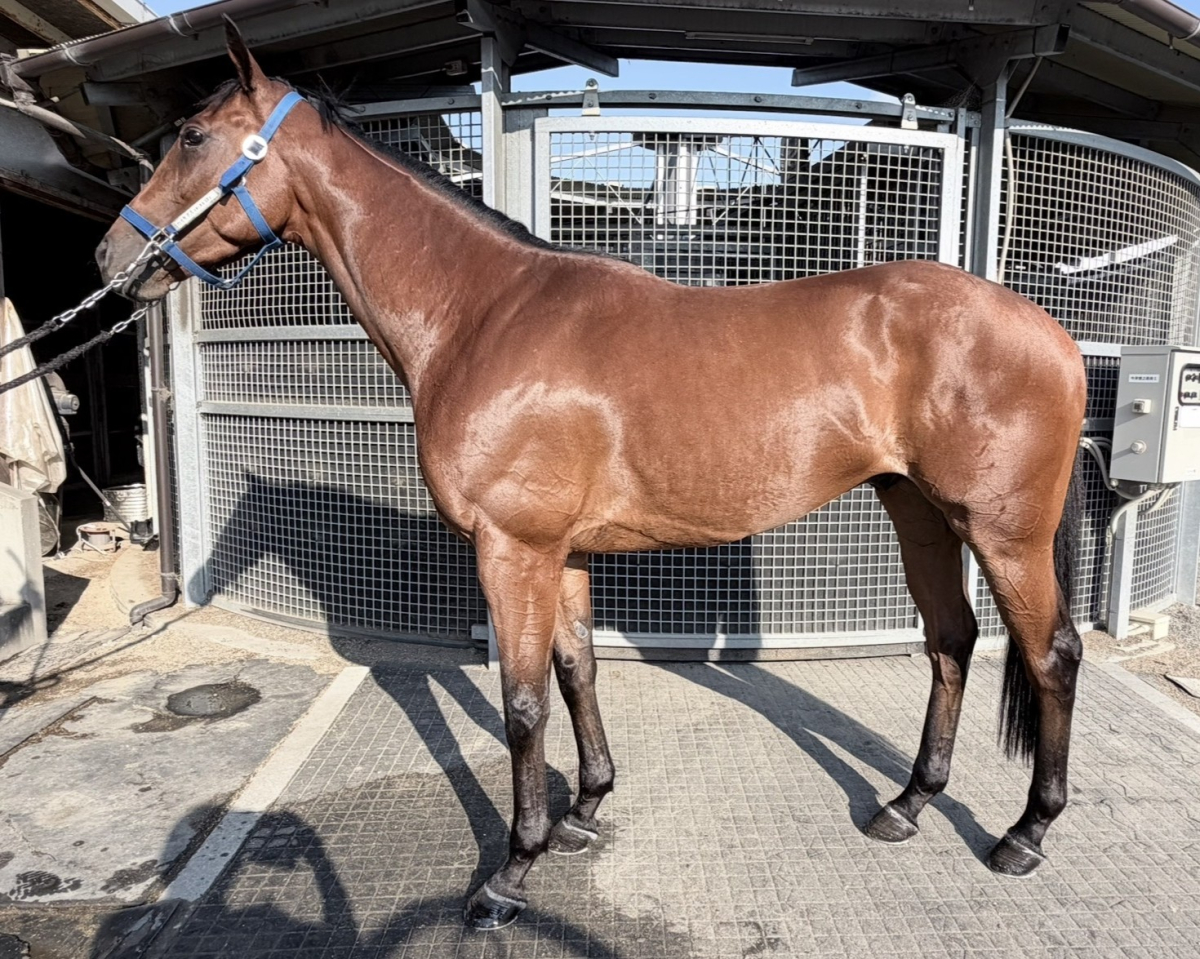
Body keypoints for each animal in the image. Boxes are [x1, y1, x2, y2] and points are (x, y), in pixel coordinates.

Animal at [96, 21, 1088, 930]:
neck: (484, 315)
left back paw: (1026, 833)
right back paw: (907, 803)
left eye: (193, 136)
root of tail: (1052, 332)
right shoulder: (561, 553)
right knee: (951, 641)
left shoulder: (512, 550)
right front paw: (584, 809)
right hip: (918, 510)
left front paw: (511, 869)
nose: (110, 258)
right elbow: (577, 671)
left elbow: (523, 702)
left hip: (1002, 530)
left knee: (1051, 654)